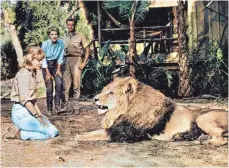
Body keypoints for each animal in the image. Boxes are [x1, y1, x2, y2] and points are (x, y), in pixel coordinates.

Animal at [76, 77, 227, 145]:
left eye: (110, 93)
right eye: (104, 91)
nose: (94, 99)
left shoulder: (125, 134)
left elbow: (99, 134)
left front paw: (80, 137)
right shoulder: (117, 128)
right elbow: (96, 131)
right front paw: (79, 135)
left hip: (202, 118)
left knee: (222, 138)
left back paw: (205, 141)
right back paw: (184, 137)